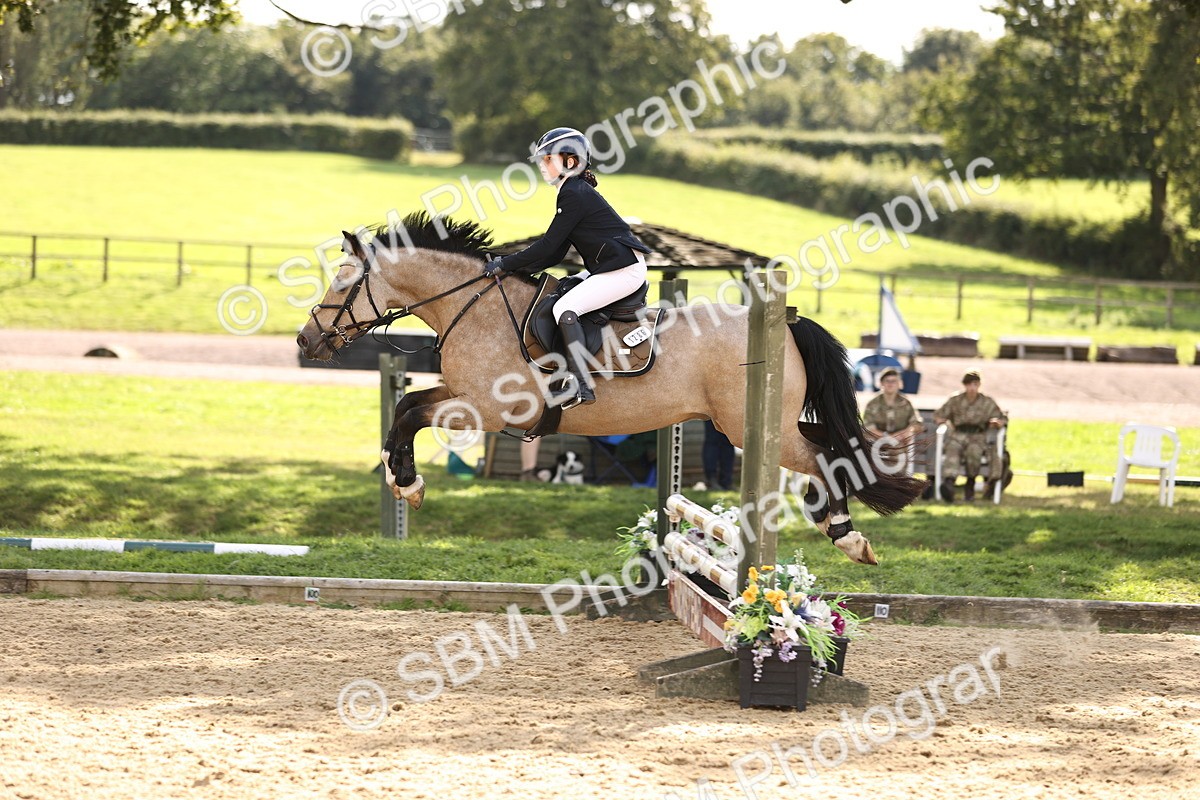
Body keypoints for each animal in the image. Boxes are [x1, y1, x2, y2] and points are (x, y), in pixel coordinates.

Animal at [296, 212, 926, 565]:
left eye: (344, 283)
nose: (306, 340)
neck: (470, 307)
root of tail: (785, 321)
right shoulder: (460, 395)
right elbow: (406, 405)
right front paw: (404, 479)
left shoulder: (493, 412)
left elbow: (410, 414)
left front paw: (407, 482)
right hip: (763, 423)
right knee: (830, 446)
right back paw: (833, 519)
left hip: (745, 427)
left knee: (822, 456)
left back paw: (846, 537)